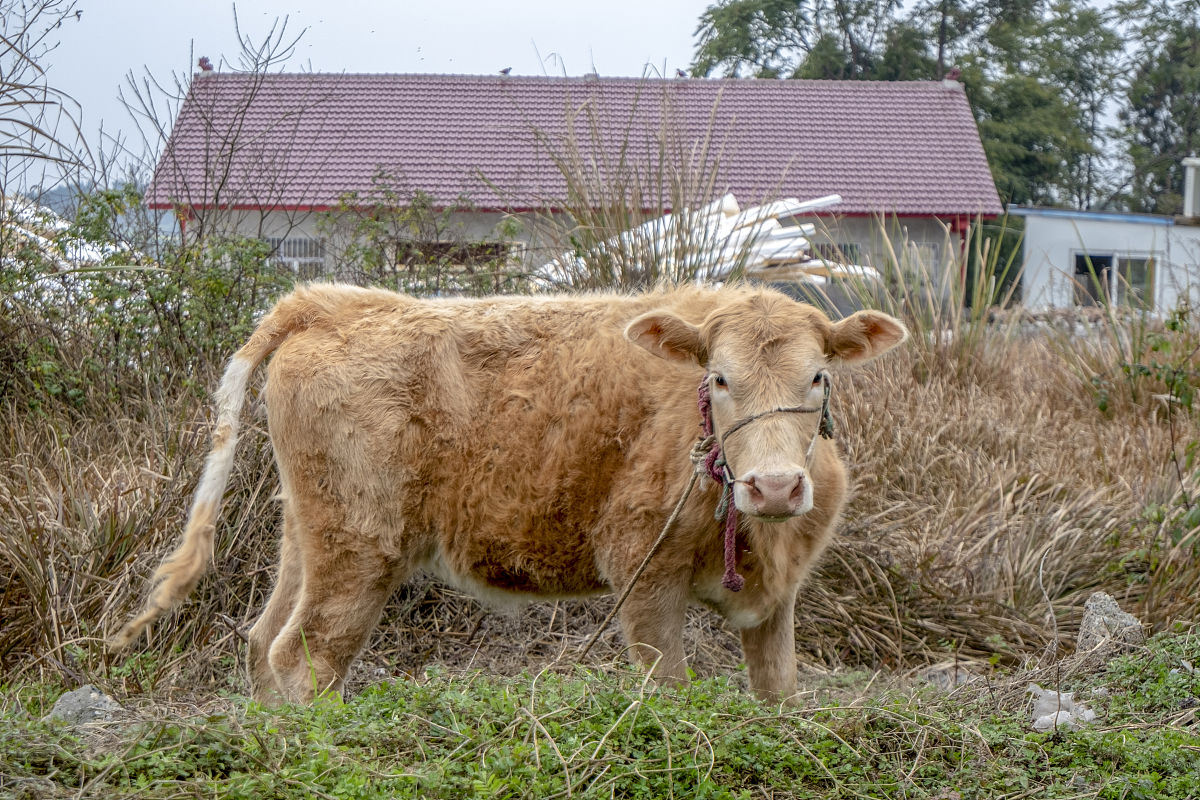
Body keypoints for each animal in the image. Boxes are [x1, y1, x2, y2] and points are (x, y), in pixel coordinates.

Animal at [112, 284, 902, 705]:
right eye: (719, 377)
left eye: (818, 376)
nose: (774, 486)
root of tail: (334, 300)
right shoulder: (644, 576)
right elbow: (670, 695)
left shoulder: (777, 601)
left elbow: (777, 694)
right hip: (358, 548)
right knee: (306, 657)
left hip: (308, 536)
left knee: (262, 640)